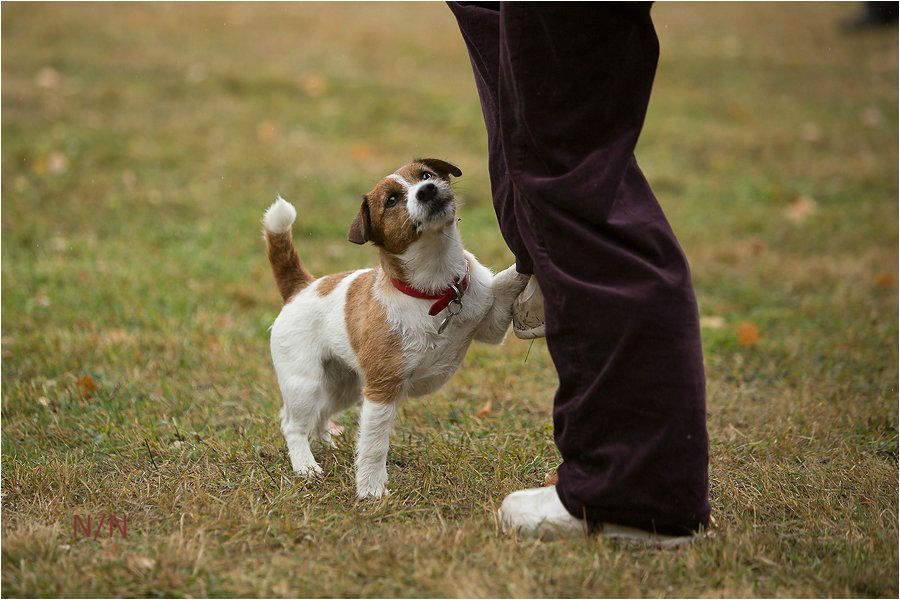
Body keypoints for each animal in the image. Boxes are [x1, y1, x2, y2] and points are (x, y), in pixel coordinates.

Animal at [260, 158, 528, 496]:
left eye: (426, 175)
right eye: (390, 200)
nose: (427, 190)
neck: (434, 292)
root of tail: (302, 287)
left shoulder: (490, 326)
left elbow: (505, 283)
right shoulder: (382, 389)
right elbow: (374, 446)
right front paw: (372, 490)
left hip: (344, 386)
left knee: (317, 415)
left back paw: (324, 442)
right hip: (306, 384)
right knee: (292, 424)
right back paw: (305, 465)